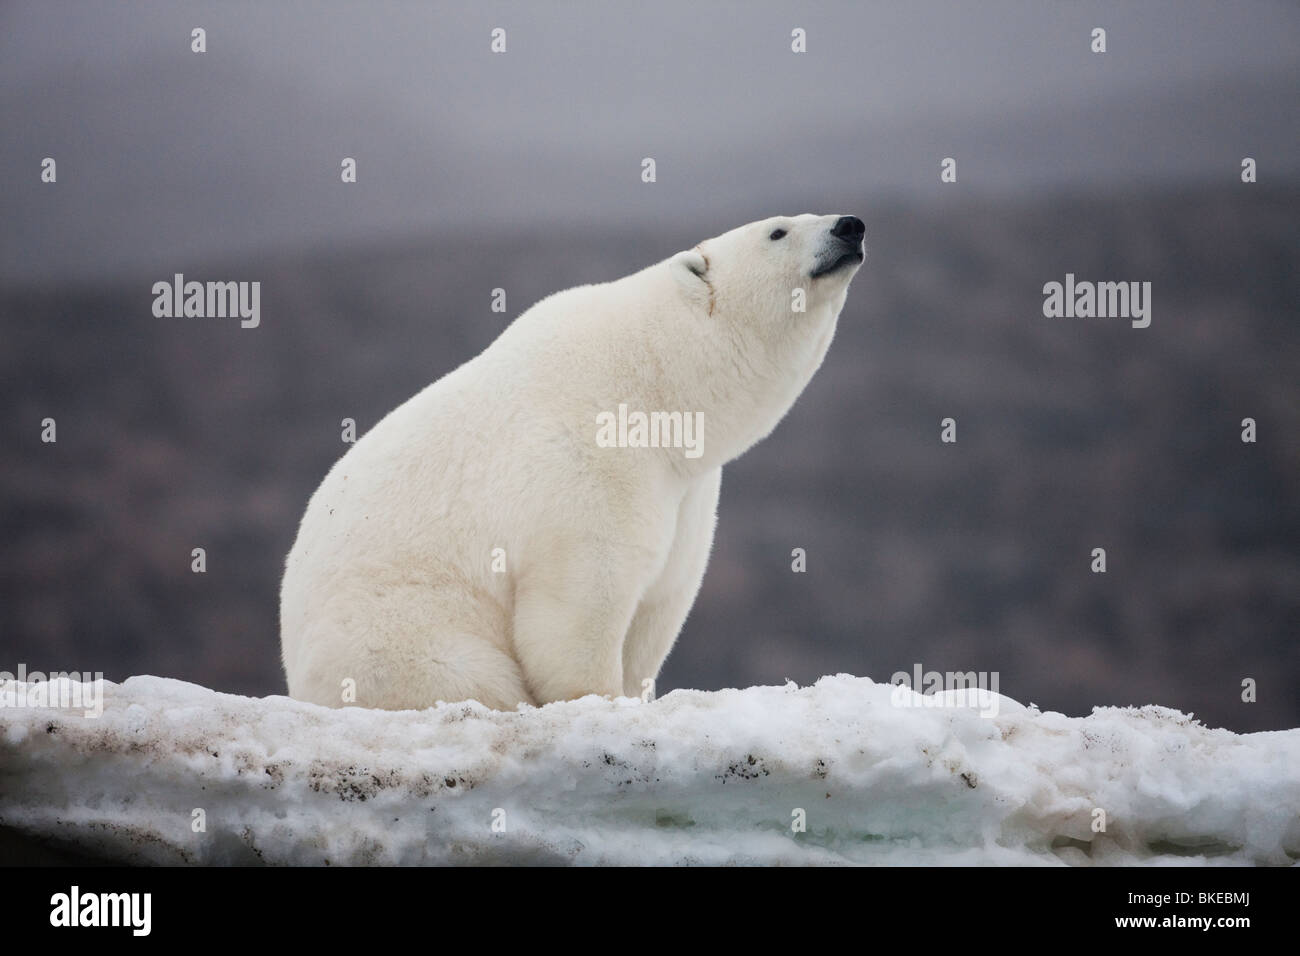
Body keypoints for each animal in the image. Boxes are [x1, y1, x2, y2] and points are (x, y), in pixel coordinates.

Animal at [280, 213, 866, 710]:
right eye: (777, 231)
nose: (850, 225)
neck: (655, 380)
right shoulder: (587, 458)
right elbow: (580, 598)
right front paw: (598, 702)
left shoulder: (687, 491)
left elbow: (662, 597)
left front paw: (636, 695)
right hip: (398, 637)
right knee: (466, 673)